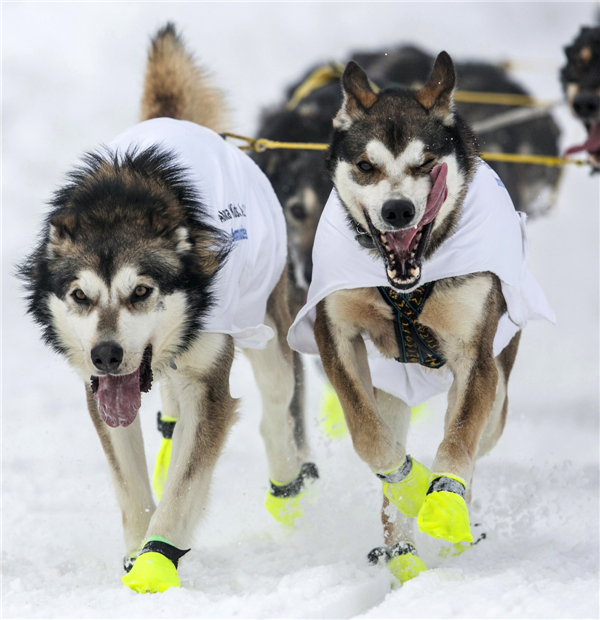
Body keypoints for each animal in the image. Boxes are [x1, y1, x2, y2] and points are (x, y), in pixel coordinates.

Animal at [19, 24, 316, 592]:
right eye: (80, 296)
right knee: (173, 411)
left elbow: (184, 486)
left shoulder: (208, 384)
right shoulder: (103, 392)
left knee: (277, 406)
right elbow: (131, 486)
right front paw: (138, 546)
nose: (107, 355)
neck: (121, 199)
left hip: (263, 329)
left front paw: (156, 560)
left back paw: (289, 485)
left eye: (141, 291)